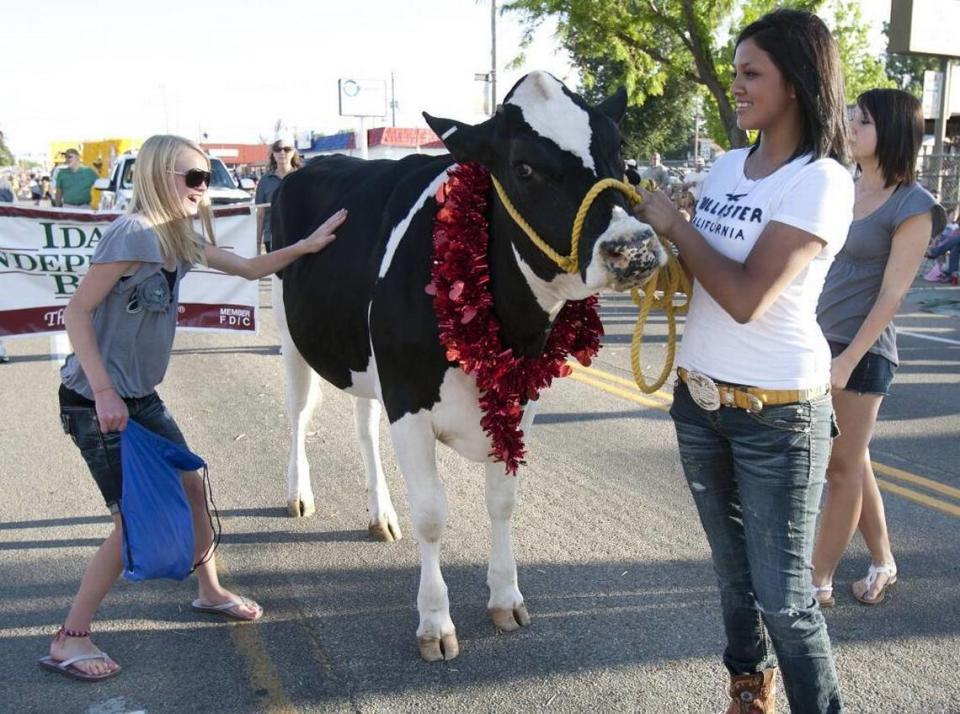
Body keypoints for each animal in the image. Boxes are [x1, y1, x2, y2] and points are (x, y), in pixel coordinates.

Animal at [270, 71, 668, 656]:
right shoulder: (409, 400)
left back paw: (380, 514)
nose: (634, 249)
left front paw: (506, 598)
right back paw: (299, 495)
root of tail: (312, 164)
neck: (513, 323)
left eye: (621, 151)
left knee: (364, 426)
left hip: (365, 360)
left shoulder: (520, 402)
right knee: (298, 414)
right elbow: (432, 516)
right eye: (523, 167)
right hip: (289, 334)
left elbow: (502, 501)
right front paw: (435, 622)